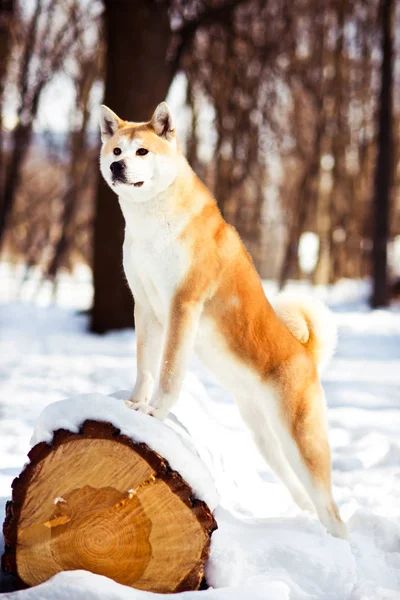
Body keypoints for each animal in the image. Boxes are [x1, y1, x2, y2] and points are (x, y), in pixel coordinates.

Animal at [98, 102, 346, 540]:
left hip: (302, 441)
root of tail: (305, 354)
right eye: (115, 150)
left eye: (141, 151)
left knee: (332, 510)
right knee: (301, 492)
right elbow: (146, 369)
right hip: (267, 439)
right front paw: (134, 403)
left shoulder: (183, 305)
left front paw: (154, 413)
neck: (151, 225)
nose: (117, 167)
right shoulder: (144, 308)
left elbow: (168, 372)